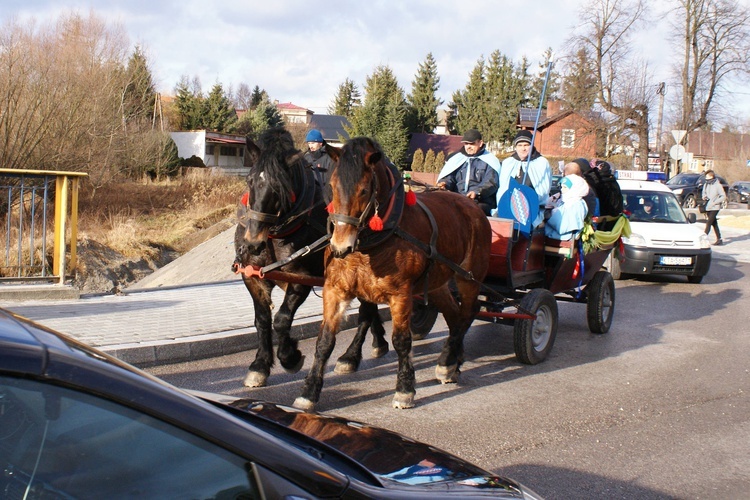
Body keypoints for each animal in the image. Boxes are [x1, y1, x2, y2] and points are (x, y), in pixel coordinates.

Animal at [234, 128, 388, 386]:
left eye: (281, 187)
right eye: (250, 181)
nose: (252, 243)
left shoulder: (300, 280)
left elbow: (282, 319)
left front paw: (290, 356)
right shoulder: (252, 277)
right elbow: (263, 320)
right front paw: (260, 365)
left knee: (366, 313)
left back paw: (350, 356)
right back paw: (379, 342)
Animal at [294, 138, 494, 410]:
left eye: (364, 190)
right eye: (332, 186)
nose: (339, 247)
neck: (369, 245)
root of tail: (471, 205)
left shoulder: (401, 294)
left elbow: (401, 340)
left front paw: (405, 389)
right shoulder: (335, 289)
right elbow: (324, 340)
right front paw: (309, 391)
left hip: (469, 277)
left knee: (468, 312)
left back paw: (446, 362)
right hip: (437, 284)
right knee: (454, 314)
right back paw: (453, 360)